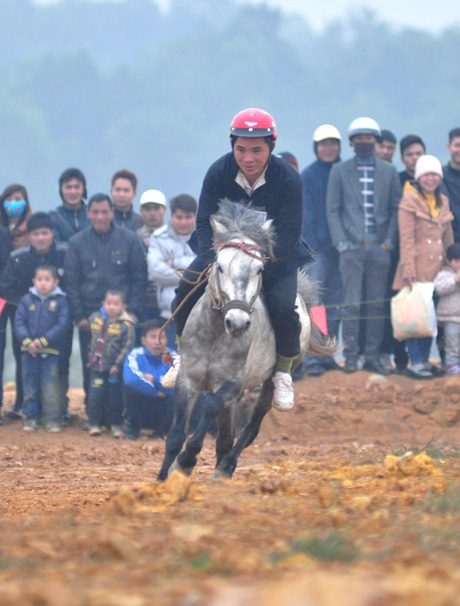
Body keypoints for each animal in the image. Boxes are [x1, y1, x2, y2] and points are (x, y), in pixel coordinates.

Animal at [158, 202, 334, 482]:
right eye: (219, 266)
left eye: (259, 269)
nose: (237, 323)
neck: (214, 335)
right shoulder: (189, 379)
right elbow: (176, 433)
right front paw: (164, 477)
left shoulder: (232, 383)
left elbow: (210, 405)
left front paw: (186, 461)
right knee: (226, 436)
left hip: (271, 380)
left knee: (250, 428)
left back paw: (225, 467)